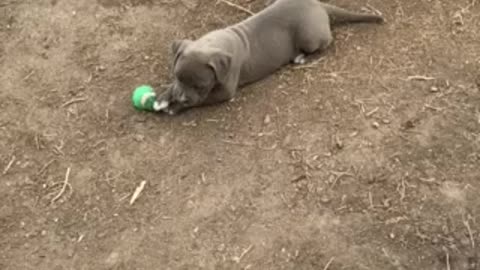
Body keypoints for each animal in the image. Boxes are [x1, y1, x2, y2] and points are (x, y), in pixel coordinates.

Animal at [156, 0, 384, 114]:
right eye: (177, 76)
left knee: (325, 43)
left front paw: (175, 107)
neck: (215, 44)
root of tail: (320, 6)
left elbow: (199, 101)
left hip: (310, 37)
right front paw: (163, 96)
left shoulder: (224, 92)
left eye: (201, 86)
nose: (181, 97)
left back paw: (301, 57)